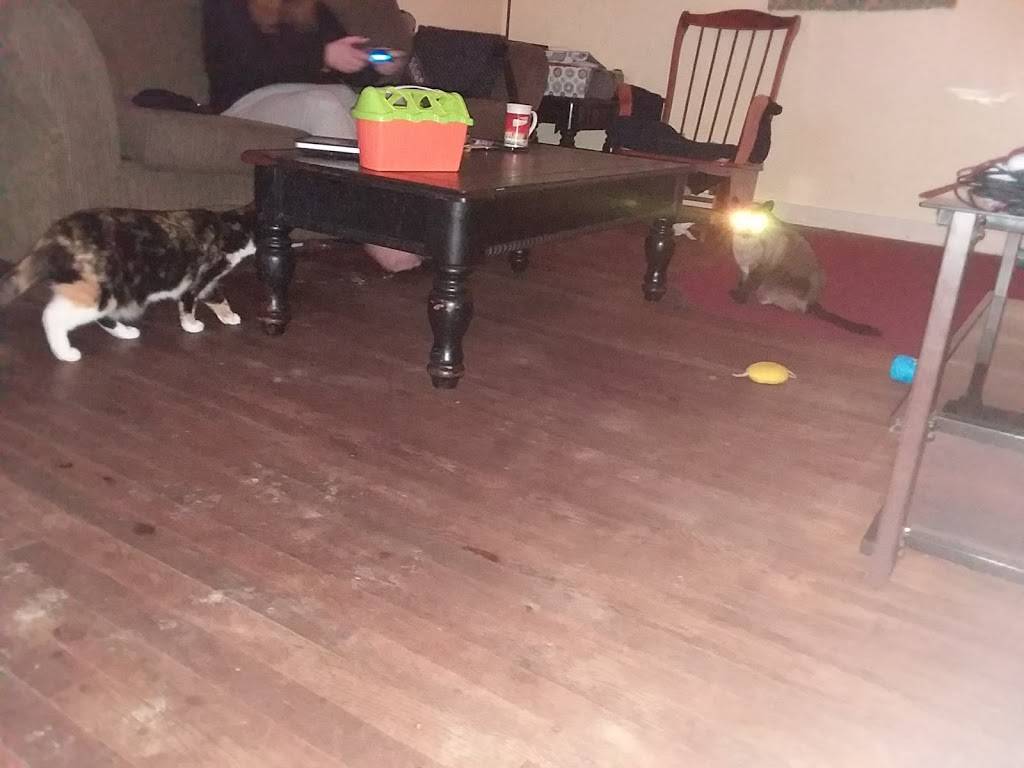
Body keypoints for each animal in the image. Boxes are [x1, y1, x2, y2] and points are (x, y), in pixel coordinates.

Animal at [0, 205, 256, 362]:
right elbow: (188, 304)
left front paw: (229, 316)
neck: (232, 226)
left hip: (104, 292)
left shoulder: (209, 282)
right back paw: (66, 353)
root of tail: (54, 237)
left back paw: (125, 333)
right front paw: (191, 325)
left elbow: (219, 298)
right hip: (103, 291)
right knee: (51, 315)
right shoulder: (198, 278)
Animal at [728, 200, 881, 336]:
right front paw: (737, 288)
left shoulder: (761, 267)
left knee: (794, 308)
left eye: (755, 222)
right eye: (741, 220)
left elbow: (748, 285)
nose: (746, 230)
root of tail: (813, 301)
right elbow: (743, 281)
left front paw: (739, 298)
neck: (744, 242)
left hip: (769, 287)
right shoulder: (745, 268)